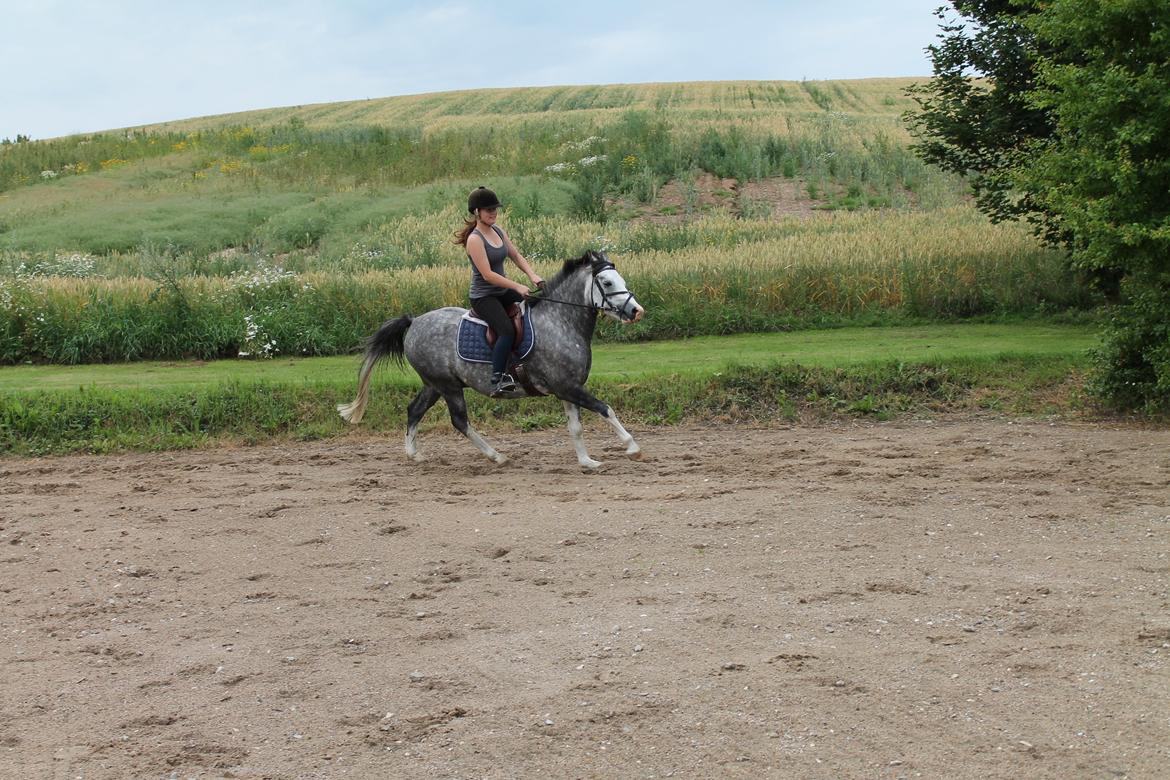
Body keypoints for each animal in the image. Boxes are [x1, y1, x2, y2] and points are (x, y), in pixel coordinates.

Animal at [337, 250, 645, 469]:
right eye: (607, 282)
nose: (636, 311)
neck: (560, 322)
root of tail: (413, 322)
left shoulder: (567, 388)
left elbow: (576, 428)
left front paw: (587, 462)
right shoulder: (567, 387)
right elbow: (605, 409)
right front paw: (632, 447)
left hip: (434, 384)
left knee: (414, 410)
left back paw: (415, 455)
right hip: (448, 386)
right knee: (459, 421)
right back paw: (496, 456)